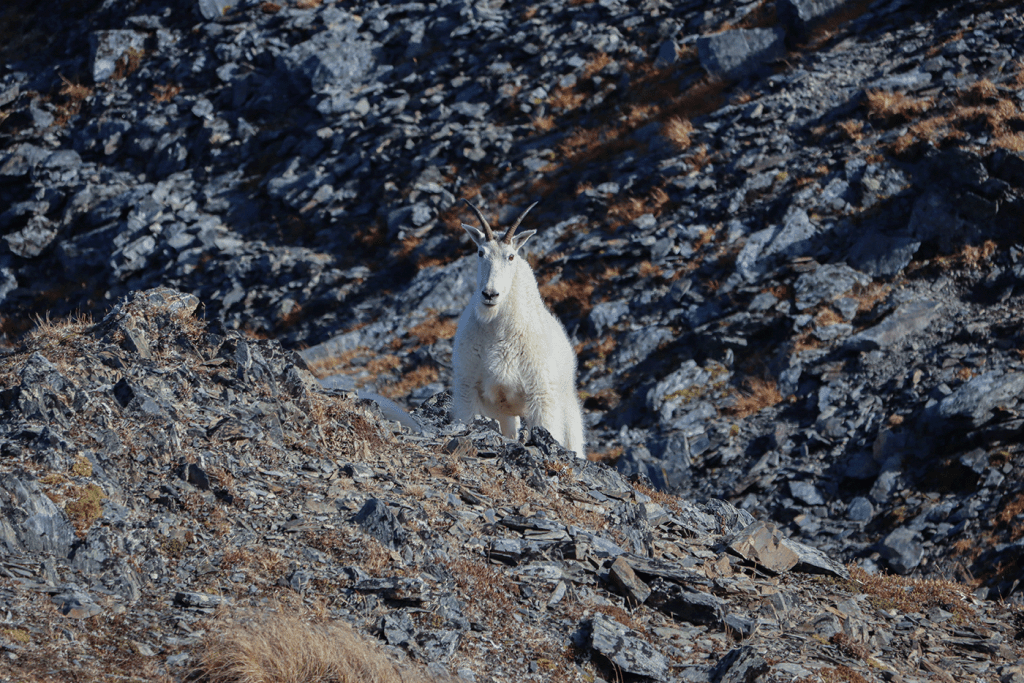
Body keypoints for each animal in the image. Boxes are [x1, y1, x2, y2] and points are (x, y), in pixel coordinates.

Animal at [451, 200, 586, 457]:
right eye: (480, 252)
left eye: (511, 256)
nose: (490, 294)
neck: (497, 330)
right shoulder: (468, 389)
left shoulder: (541, 395)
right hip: (507, 415)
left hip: (566, 404)